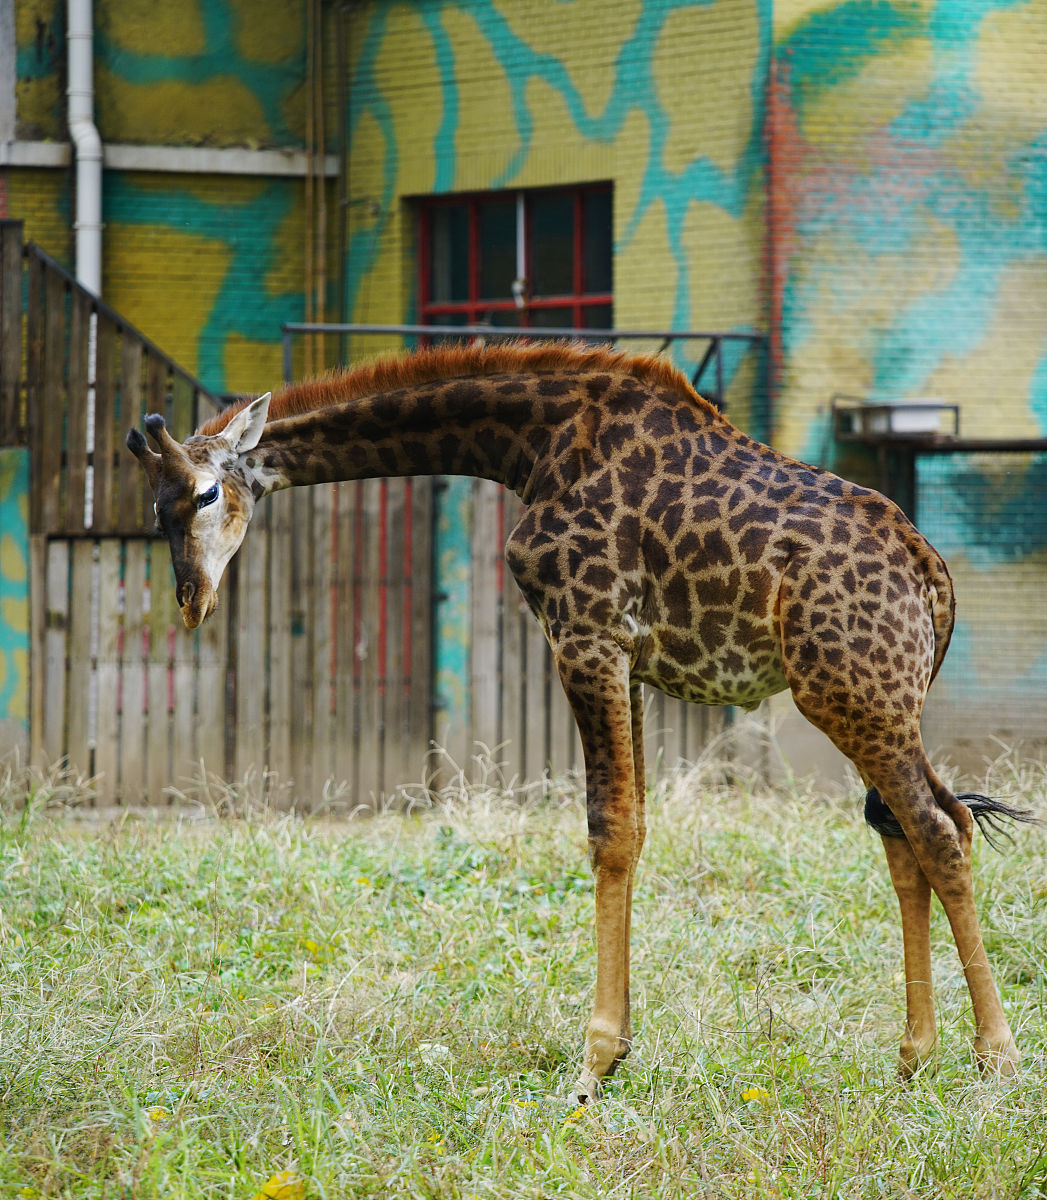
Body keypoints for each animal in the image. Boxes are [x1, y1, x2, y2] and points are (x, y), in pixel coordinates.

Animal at [129, 343, 1032, 1099]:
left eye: (206, 493)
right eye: (157, 513)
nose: (191, 601)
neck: (528, 445)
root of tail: (934, 575)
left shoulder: (584, 632)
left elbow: (609, 829)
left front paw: (593, 1062)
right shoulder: (623, 656)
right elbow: (632, 826)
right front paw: (618, 1048)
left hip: (851, 694)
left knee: (938, 828)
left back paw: (996, 1060)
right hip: (865, 700)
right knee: (910, 832)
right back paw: (913, 1056)